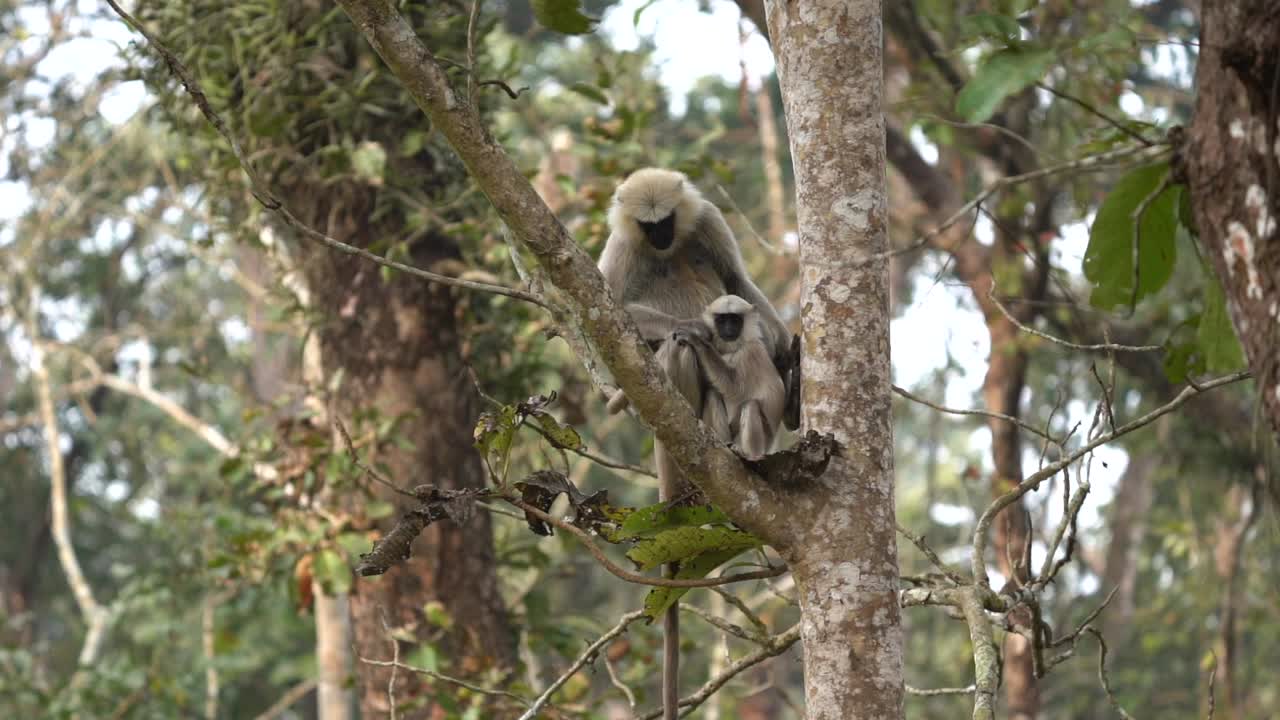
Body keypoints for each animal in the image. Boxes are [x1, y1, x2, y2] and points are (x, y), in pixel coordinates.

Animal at [674, 295, 786, 460]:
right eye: (722, 320)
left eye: (734, 320)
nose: (728, 329)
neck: (733, 349)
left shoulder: (751, 352)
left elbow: (734, 387)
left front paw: (697, 341)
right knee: (713, 394)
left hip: (764, 438)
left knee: (750, 405)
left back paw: (750, 454)